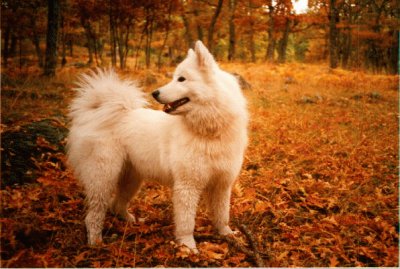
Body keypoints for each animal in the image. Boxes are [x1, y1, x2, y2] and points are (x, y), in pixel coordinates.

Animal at [67, 40, 248, 250]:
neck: (209, 132)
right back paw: (96, 241)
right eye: (175, 77)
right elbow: (187, 221)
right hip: (103, 177)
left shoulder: (222, 184)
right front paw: (188, 246)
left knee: (117, 204)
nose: (155, 93)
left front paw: (228, 236)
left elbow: (222, 215)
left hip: (131, 178)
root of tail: (96, 113)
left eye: (181, 79)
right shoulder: (187, 186)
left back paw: (131, 221)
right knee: (94, 214)